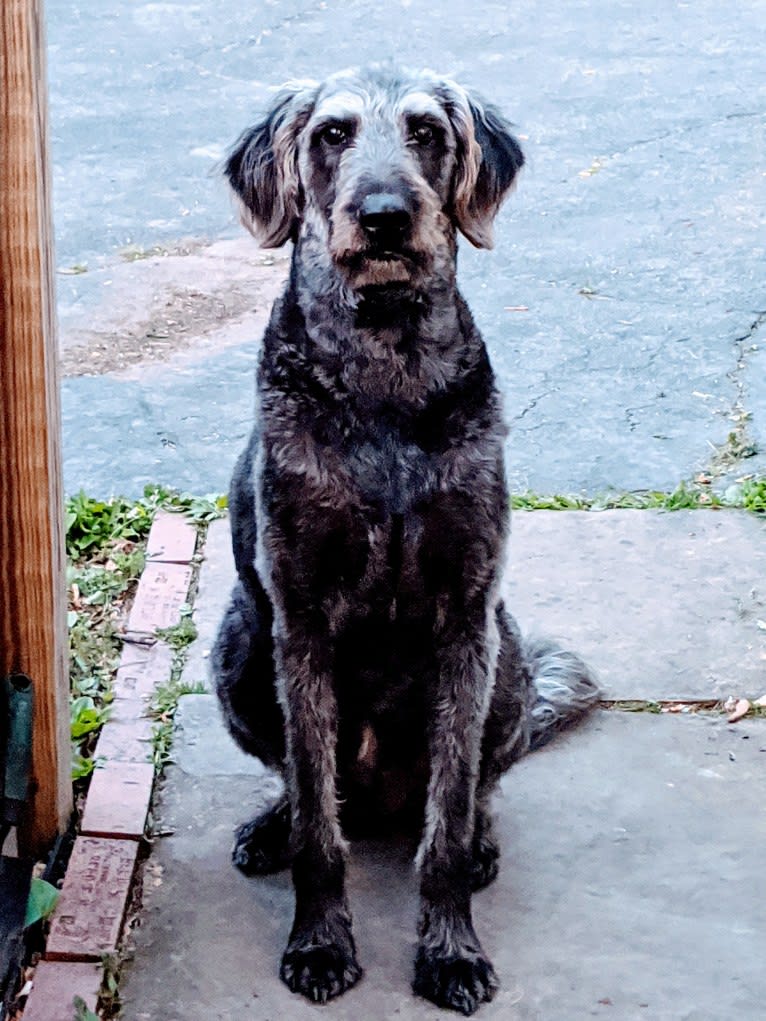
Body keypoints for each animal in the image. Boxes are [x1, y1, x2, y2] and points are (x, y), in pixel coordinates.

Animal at [214, 63, 600, 1012]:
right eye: (333, 134)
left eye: (426, 131)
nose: (385, 214)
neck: (384, 368)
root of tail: (383, 795)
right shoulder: (300, 624)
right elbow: (319, 826)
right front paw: (319, 943)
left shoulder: (467, 618)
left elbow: (448, 828)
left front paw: (450, 951)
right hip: (239, 643)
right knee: (307, 791)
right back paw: (272, 827)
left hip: (509, 656)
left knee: (471, 792)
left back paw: (481, 837)